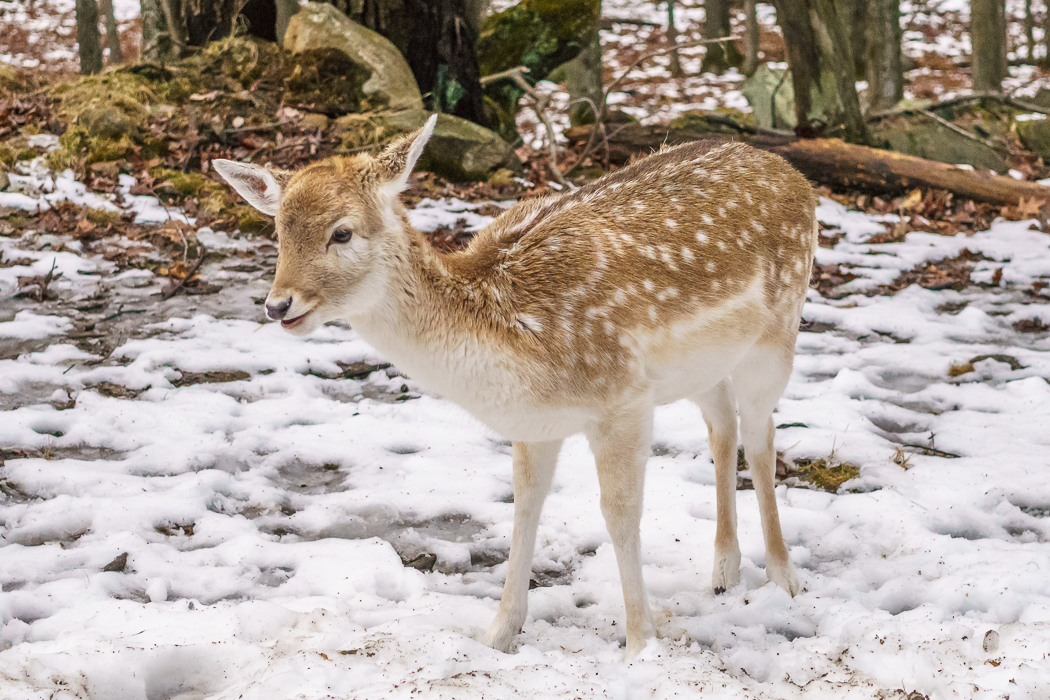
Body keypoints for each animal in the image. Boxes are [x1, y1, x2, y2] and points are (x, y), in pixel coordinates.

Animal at [213, 114, 818, 659]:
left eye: (342, 232)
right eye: (278, 230)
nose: (278, 305)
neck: (509, 337)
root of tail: (793, 173)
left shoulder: (623, 399)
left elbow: (620, 514)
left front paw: (641, 646)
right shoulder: (534, 422)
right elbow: (525, 504)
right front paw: (497, 635)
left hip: (778, 335)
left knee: (761, 436)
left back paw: (783, 577)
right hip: (706, 366)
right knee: (722, 428)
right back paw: (722, 571)